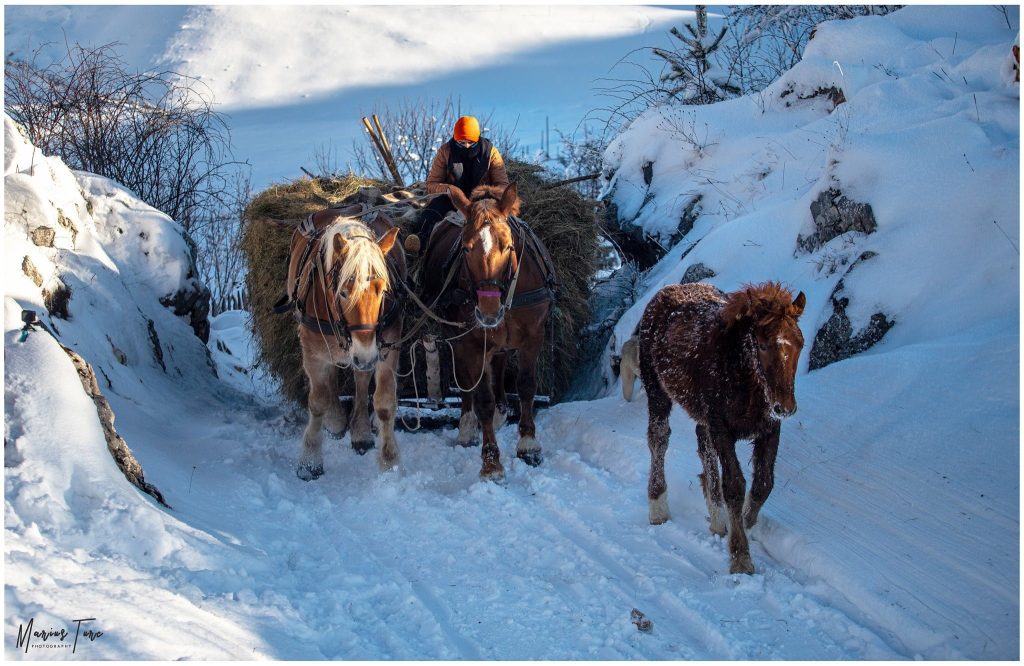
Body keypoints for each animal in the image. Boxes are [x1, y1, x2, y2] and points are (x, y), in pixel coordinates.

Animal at [286, 206, 405, 477]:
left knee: (360, 381)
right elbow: (317, 401)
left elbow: (384, 402)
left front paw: (389, 460)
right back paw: (336, 420)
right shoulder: (312, 350)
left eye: (383, 290)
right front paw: (310, 460)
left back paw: (360, 431)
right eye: (343, 292)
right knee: (331, 376)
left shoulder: (387, 346)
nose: (366, 355)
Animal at [419, 184, 557, 479]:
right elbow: (483, 398)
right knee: (466, 381)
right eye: (466, 248)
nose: (488, 312)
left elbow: (526, 386)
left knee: (501, 362)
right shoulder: (473, 344)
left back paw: (502, 412)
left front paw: (528, 444)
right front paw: (491, 462)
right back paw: (467, 427)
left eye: (508, 246)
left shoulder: (533, 336)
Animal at [634, 280, 802, 569]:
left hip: (703, 417)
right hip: (657, 393)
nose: (785, 407)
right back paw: (658, 507)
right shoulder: (722, 428)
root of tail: (667, 290)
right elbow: (734, 485)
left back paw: (717, 519)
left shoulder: (769, 429)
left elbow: (763, 484)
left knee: (703, 447)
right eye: (762, 344)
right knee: (658, 438)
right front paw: (740, 556)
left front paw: (743, 524)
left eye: (800, 344)